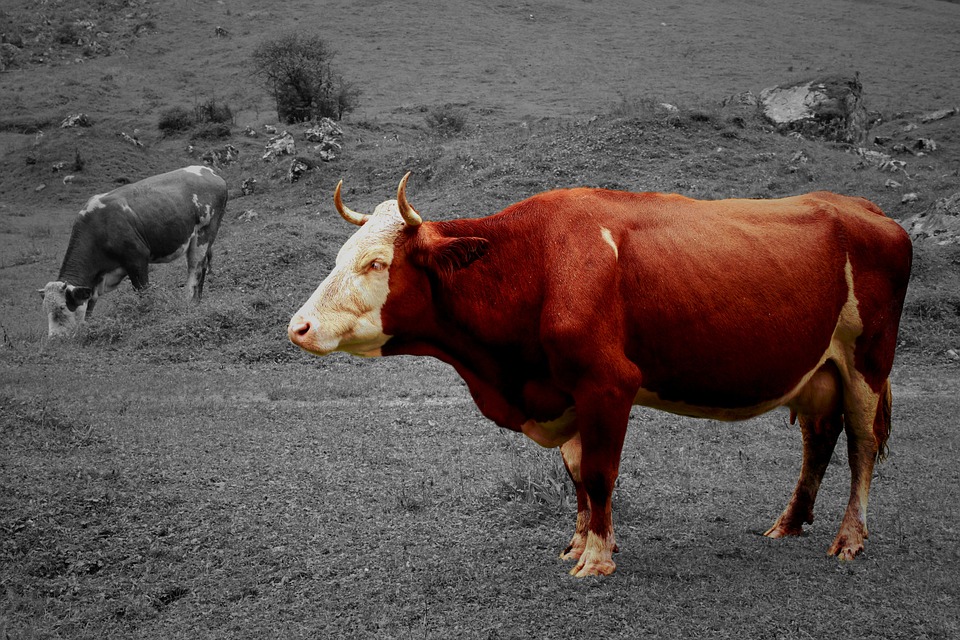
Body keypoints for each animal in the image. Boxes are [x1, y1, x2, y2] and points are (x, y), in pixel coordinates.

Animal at [40, 165, 228, 337]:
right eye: (45, 309)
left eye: (62, 307)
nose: (54, 338)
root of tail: (209, 171)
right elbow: (89, 305)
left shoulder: (137, 258)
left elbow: (143, 291)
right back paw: (197, 300)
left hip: (204, 232)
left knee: (196, 267)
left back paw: (189, 301)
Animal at [288, 174, 912, 577]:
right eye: (340, 255)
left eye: (377, 263)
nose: (299, 326)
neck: (539, 263)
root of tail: (868, 211)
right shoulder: (566, 392)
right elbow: (576, 477)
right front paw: (578, 542)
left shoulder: (609, 384)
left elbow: (598, 474)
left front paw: (596, 559)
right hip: (819, 371)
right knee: (818, 442)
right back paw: (789, 523)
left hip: (867, 363)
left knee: (860, 445)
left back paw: (849, 539)